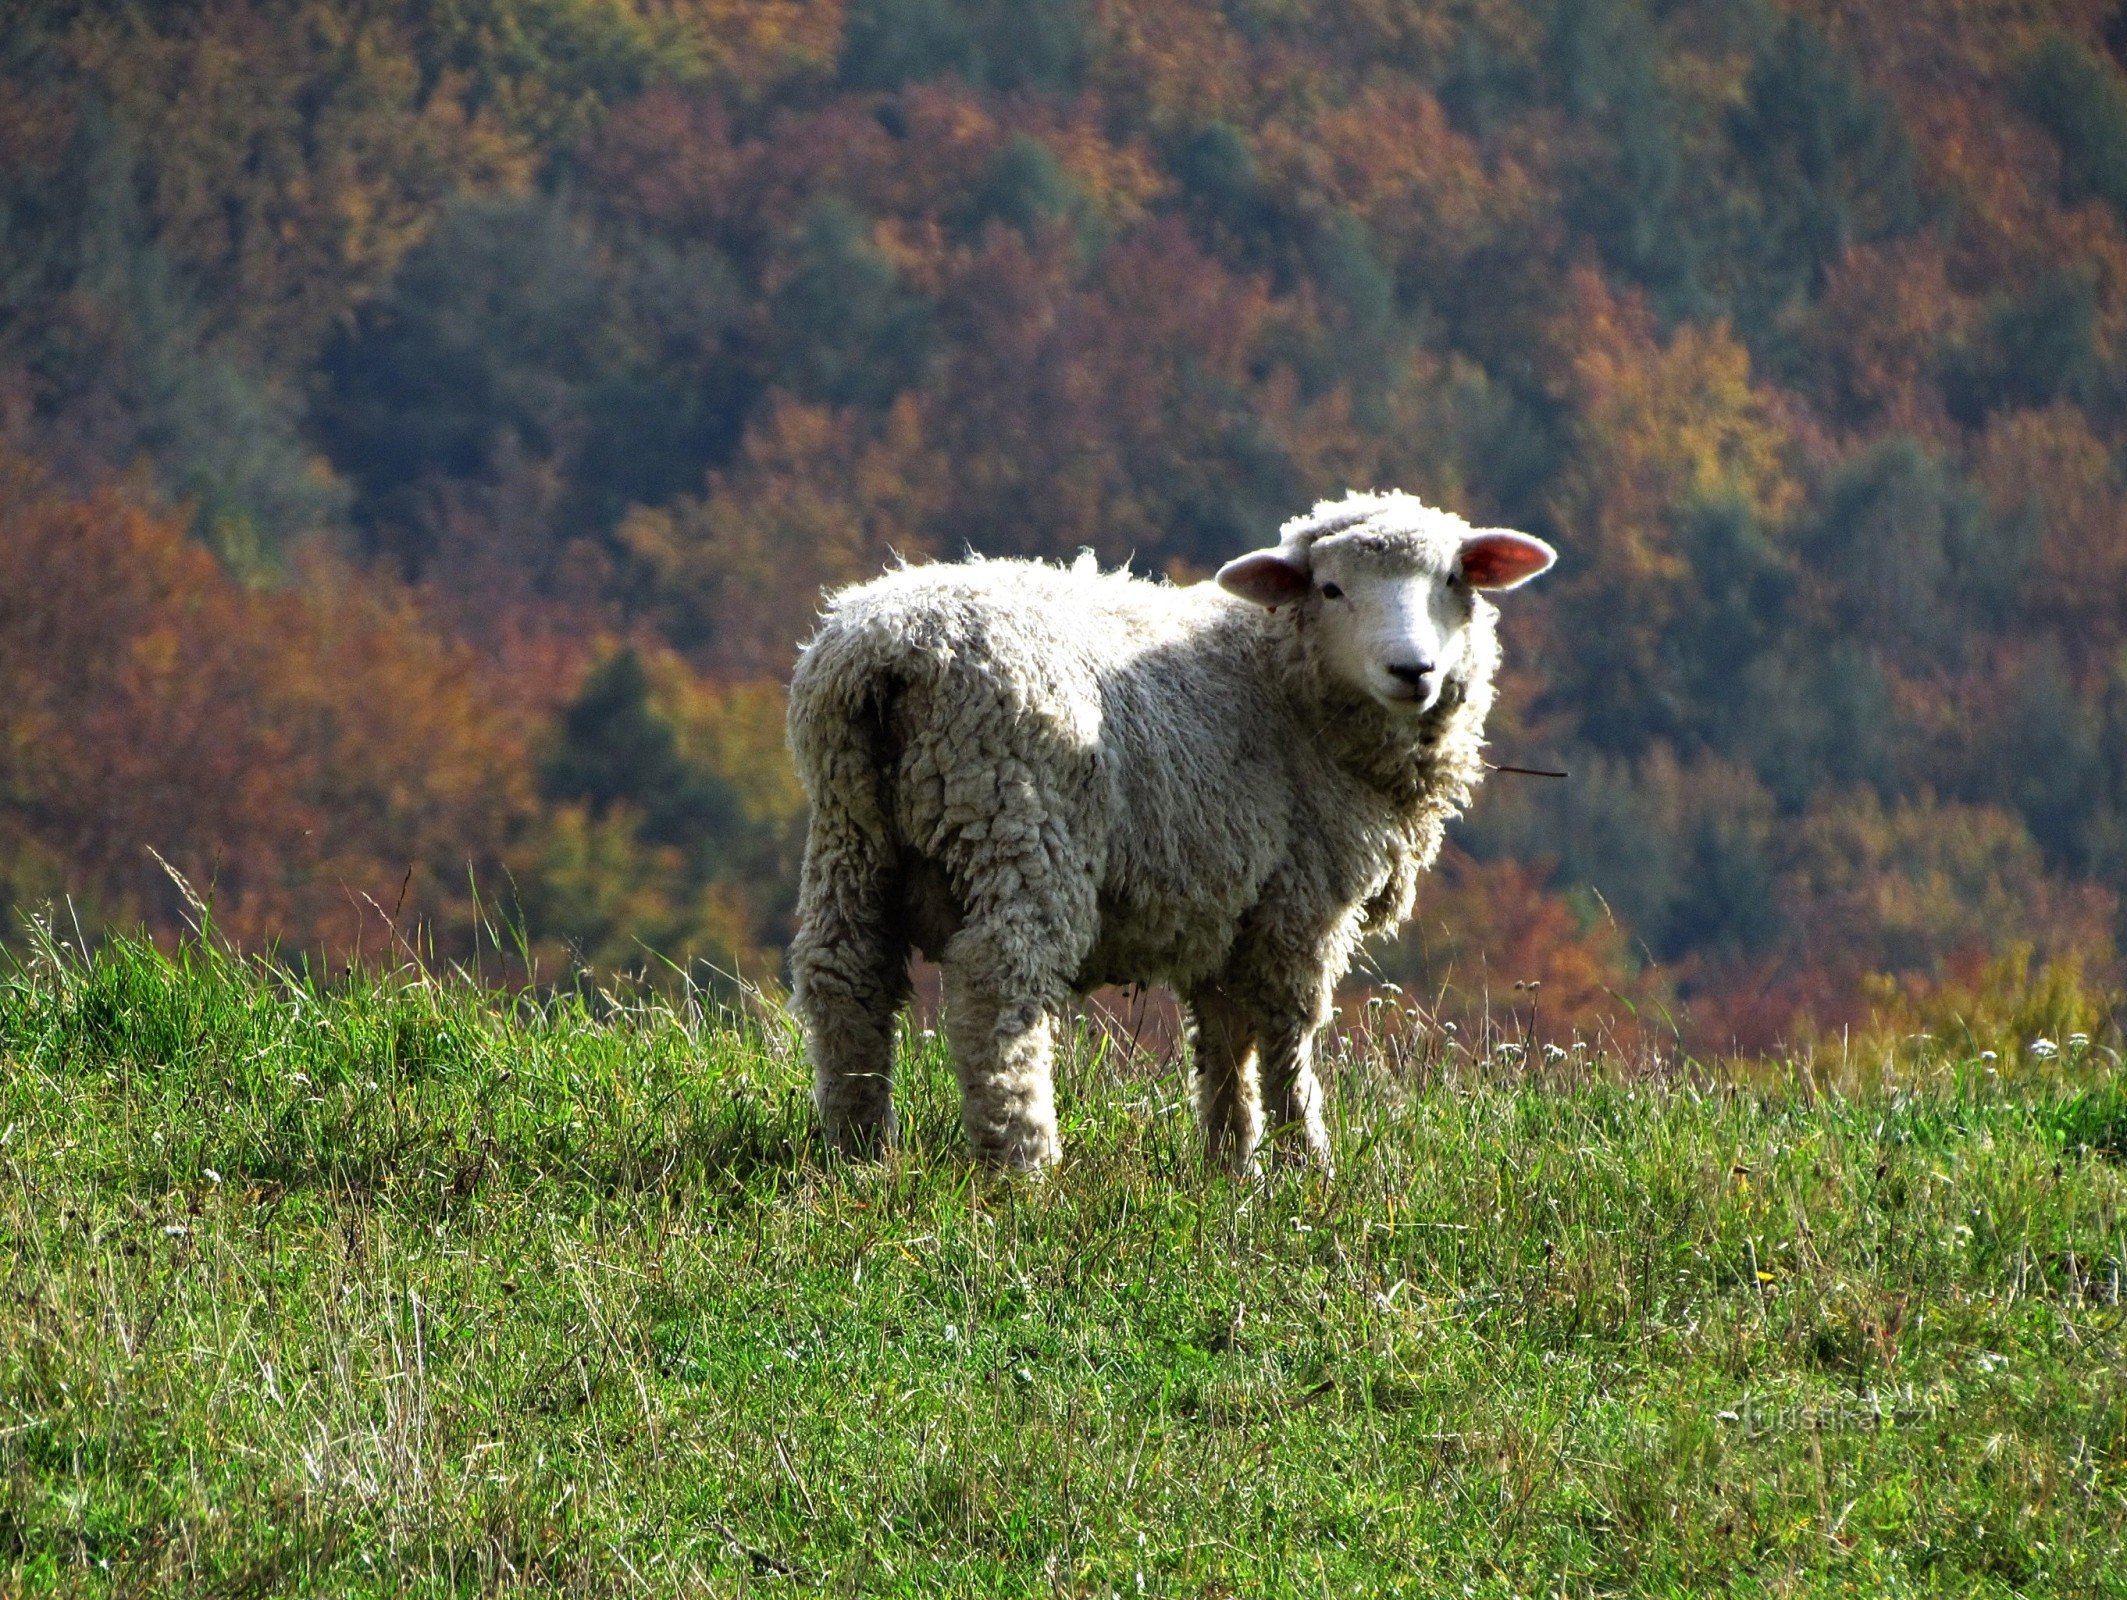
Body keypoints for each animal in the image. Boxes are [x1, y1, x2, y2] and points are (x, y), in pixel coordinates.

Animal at [791, 480, 1556, 1165]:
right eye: (1332, 590)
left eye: (1452, 578)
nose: (1413, 670)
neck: (1279, 675)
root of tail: (895, 648)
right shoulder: (1298, 899)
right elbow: (1286, 1032)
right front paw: (1304, 1161)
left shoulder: (1223, 901)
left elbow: (1222, 1035)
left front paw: (1230, 1162)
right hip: (1015, 821)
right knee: (997, 982)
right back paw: (1023, 1161)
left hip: (851, 829)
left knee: (844, 976)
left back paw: (860, 1147)